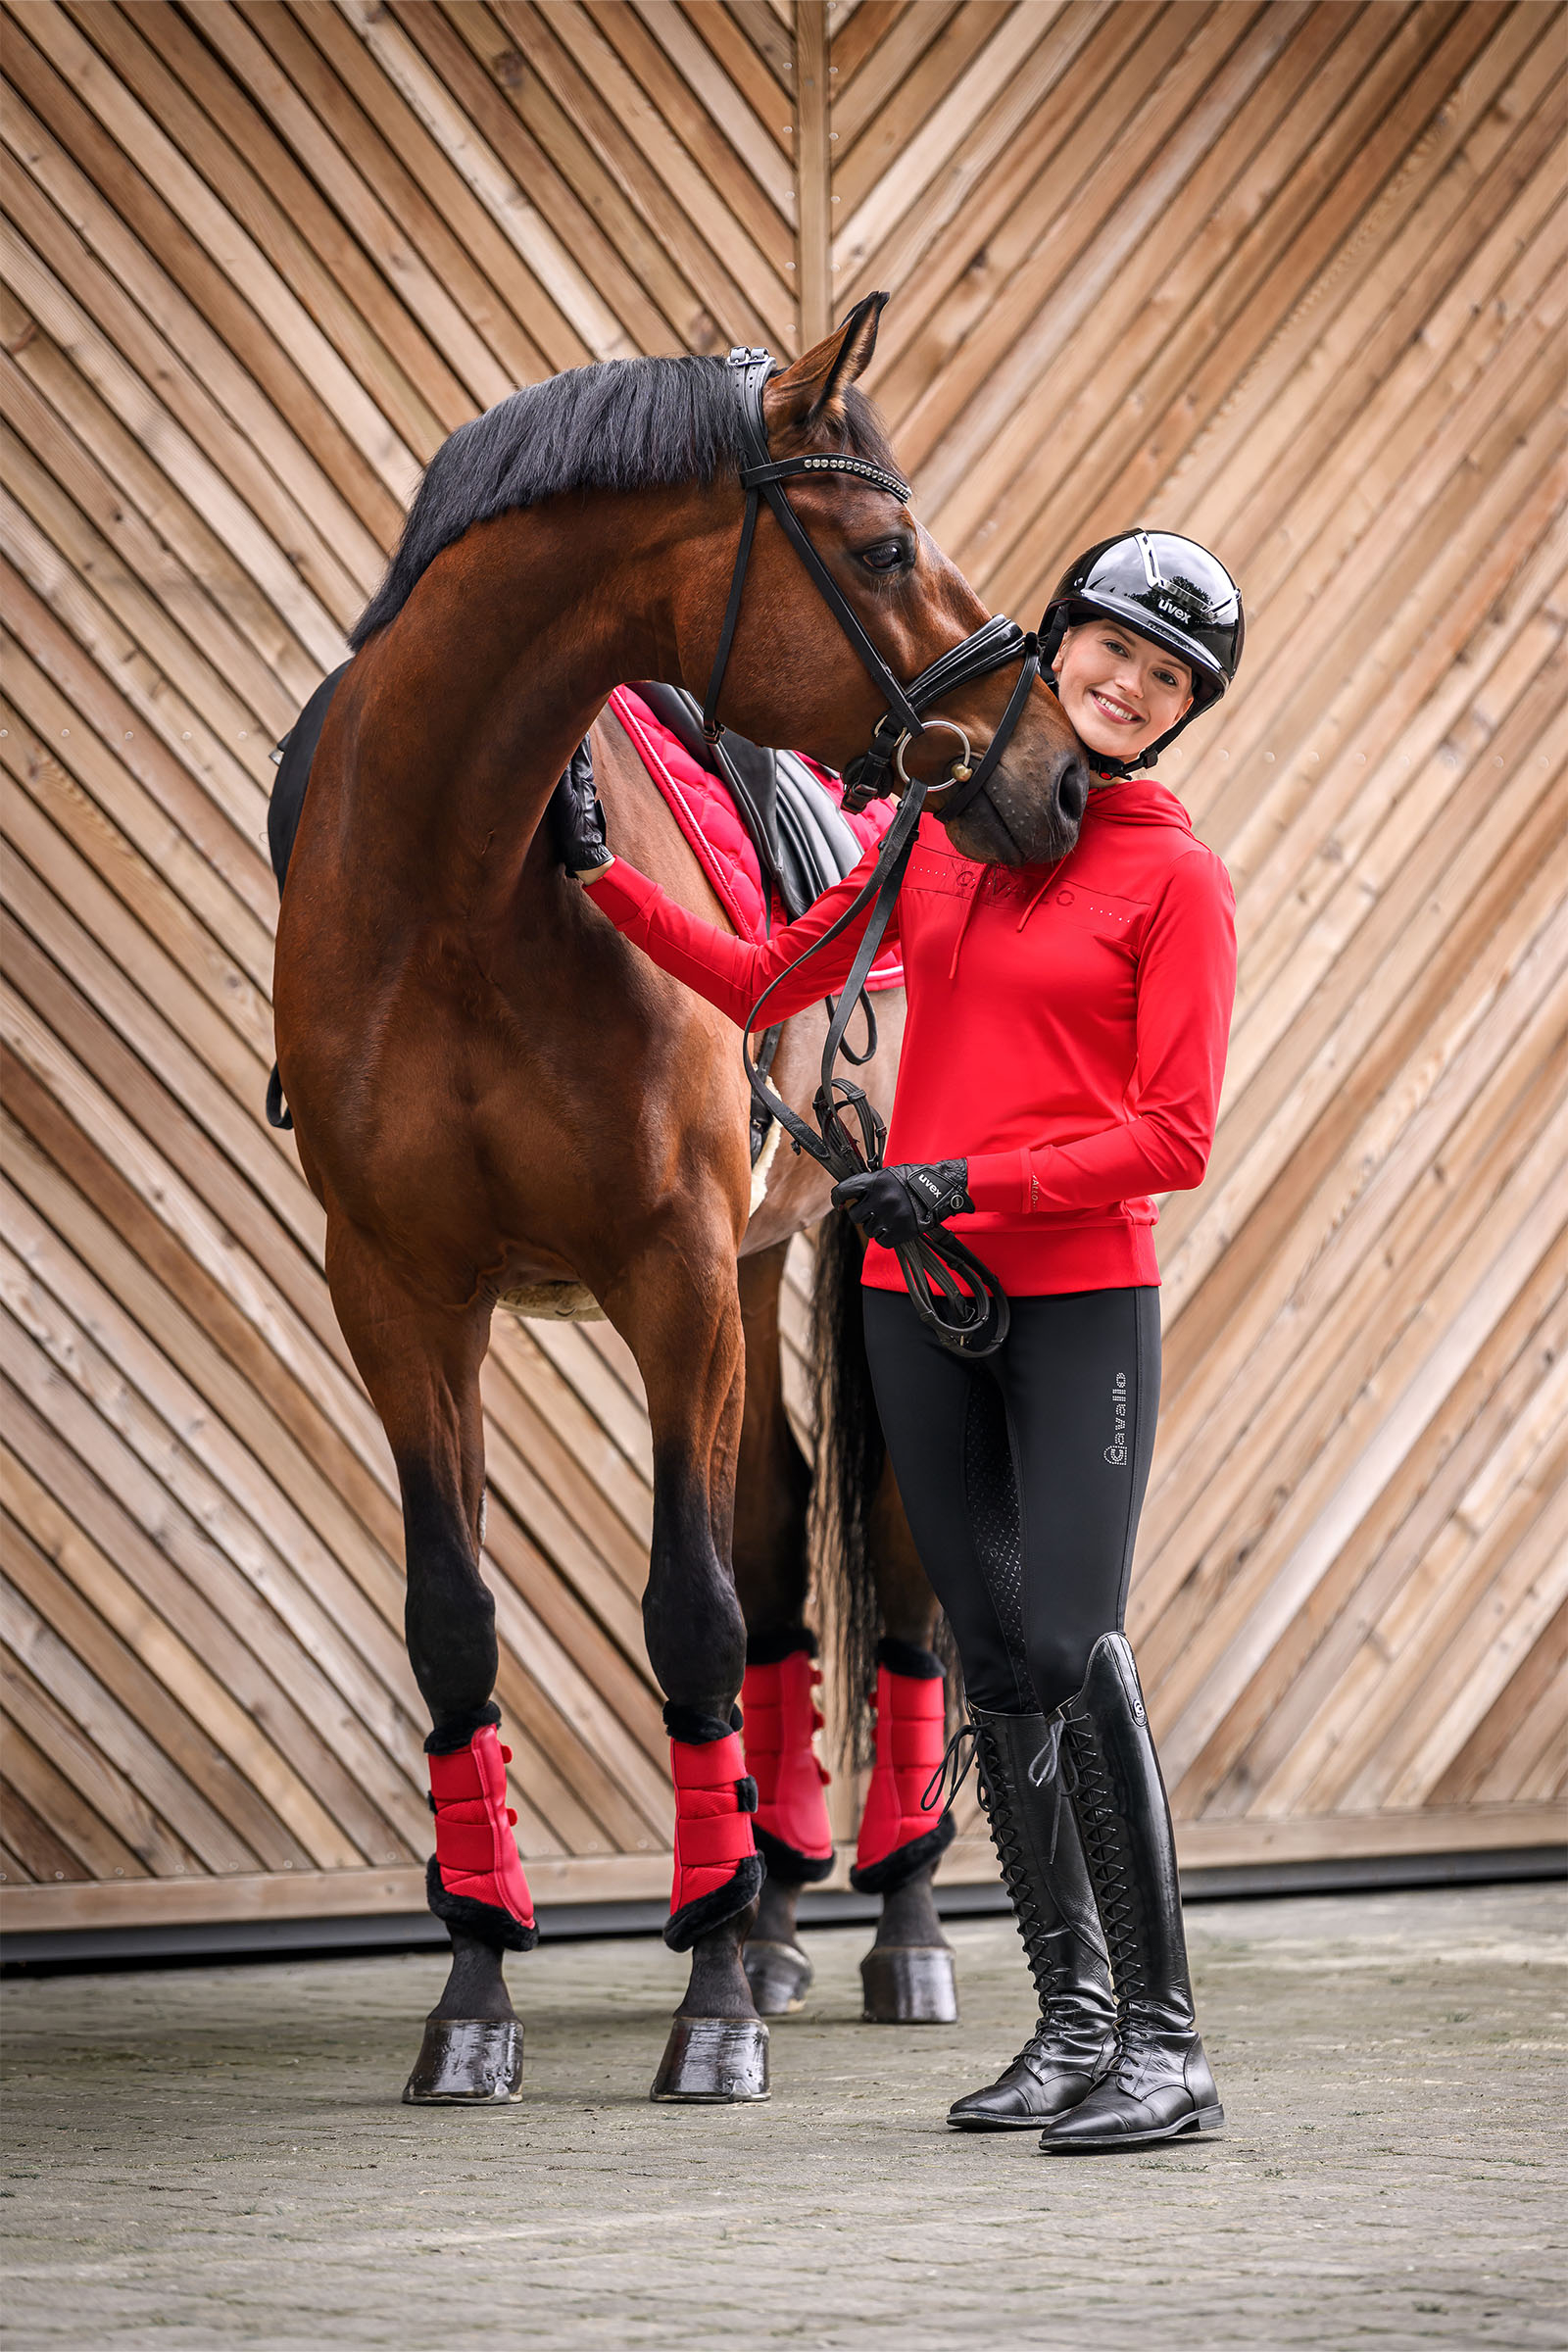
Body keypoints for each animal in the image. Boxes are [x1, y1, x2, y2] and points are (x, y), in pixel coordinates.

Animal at [271, 294, 1089, 2103]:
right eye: (885, 547)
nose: (1056, 776)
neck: (459, 886)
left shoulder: (672, 1270)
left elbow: (693, 1616)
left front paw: (707, 2002)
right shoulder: (401, 1291)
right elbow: (457, 1624)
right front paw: (476, 1993)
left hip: (843, 1243)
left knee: (893, 1566)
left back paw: (894, 1922)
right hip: (745, 1272)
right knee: (781, 1524)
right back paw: (775, 1907)